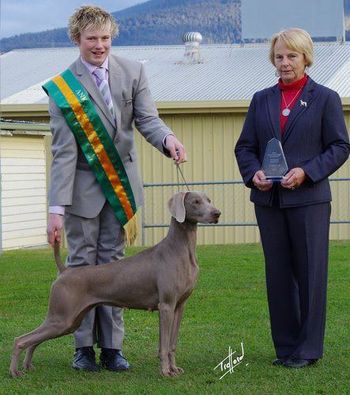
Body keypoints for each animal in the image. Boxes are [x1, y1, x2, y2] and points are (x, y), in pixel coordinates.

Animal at [9, 193, 220, 378]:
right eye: (196, 201)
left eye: (209, 199)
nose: (217, 213)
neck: (181, 249)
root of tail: (65, 270)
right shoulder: (166, 306)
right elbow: (164, 345)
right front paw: (166, 372)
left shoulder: (179, 306)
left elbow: (172, 344)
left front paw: (174, 369)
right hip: (61, 317)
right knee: (20, 340)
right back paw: (14, 372)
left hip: (68, 321)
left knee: (34, 340)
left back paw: (27, 366)